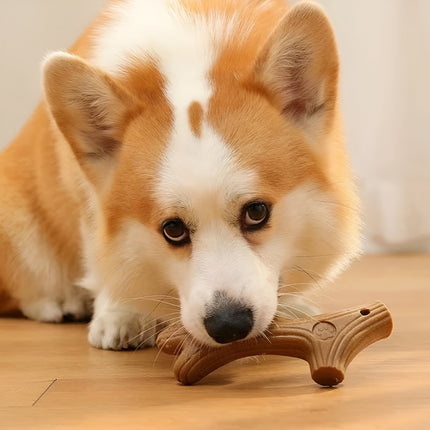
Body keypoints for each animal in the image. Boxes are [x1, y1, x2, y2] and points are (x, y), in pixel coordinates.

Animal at [0, 0, 360, 350]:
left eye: (257, 212)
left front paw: (291, 305)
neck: (186, 65)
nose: (229, 326)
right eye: (172, 229)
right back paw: (62, 302)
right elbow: (104, 259)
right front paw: (121, 314)